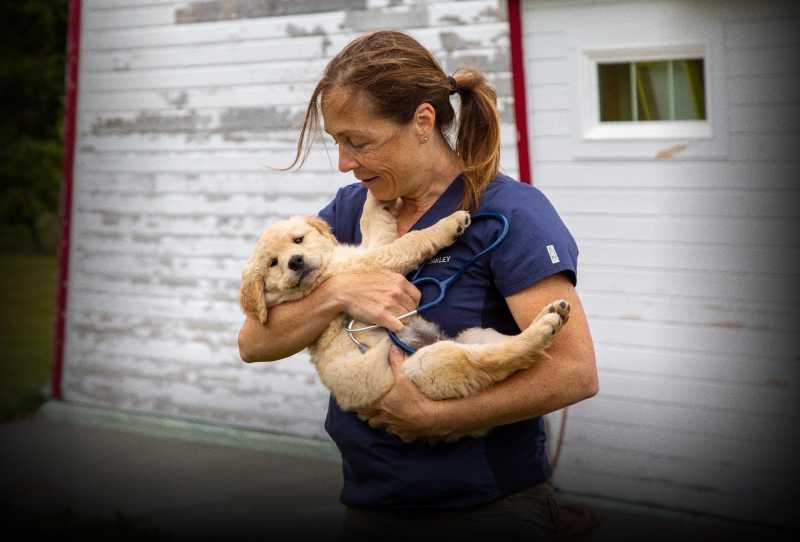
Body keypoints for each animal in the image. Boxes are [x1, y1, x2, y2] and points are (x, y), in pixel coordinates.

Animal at [239, 193, 568, 440]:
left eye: (298, 239)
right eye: (273, 263)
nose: (295, 262)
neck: (328, 271)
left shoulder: (371, 247)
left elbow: (373, 222)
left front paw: (375, 193)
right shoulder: (373, 261)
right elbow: (410, 241)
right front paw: (448, 224)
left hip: (474, 334)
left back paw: (547, 318)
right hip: (428, 367)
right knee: (492, 361)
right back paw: (545, 326)